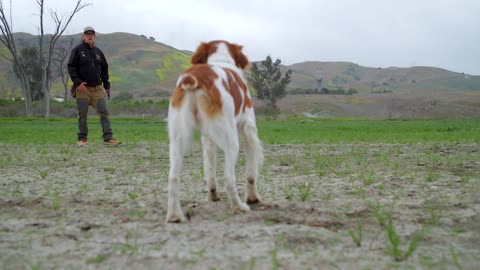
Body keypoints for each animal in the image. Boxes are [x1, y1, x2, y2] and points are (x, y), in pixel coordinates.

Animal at [165, 39, 262, 221]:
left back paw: (174, 216)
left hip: (177, 140)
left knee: (173, 177)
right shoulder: (249, 129)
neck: (221, 60)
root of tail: (194, 77)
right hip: (231, 140)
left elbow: (209, 172)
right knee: (229, 177)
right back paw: (238, 206)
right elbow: (251, 173)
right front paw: (253, 198)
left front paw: (212, 197)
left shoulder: (207, 139)